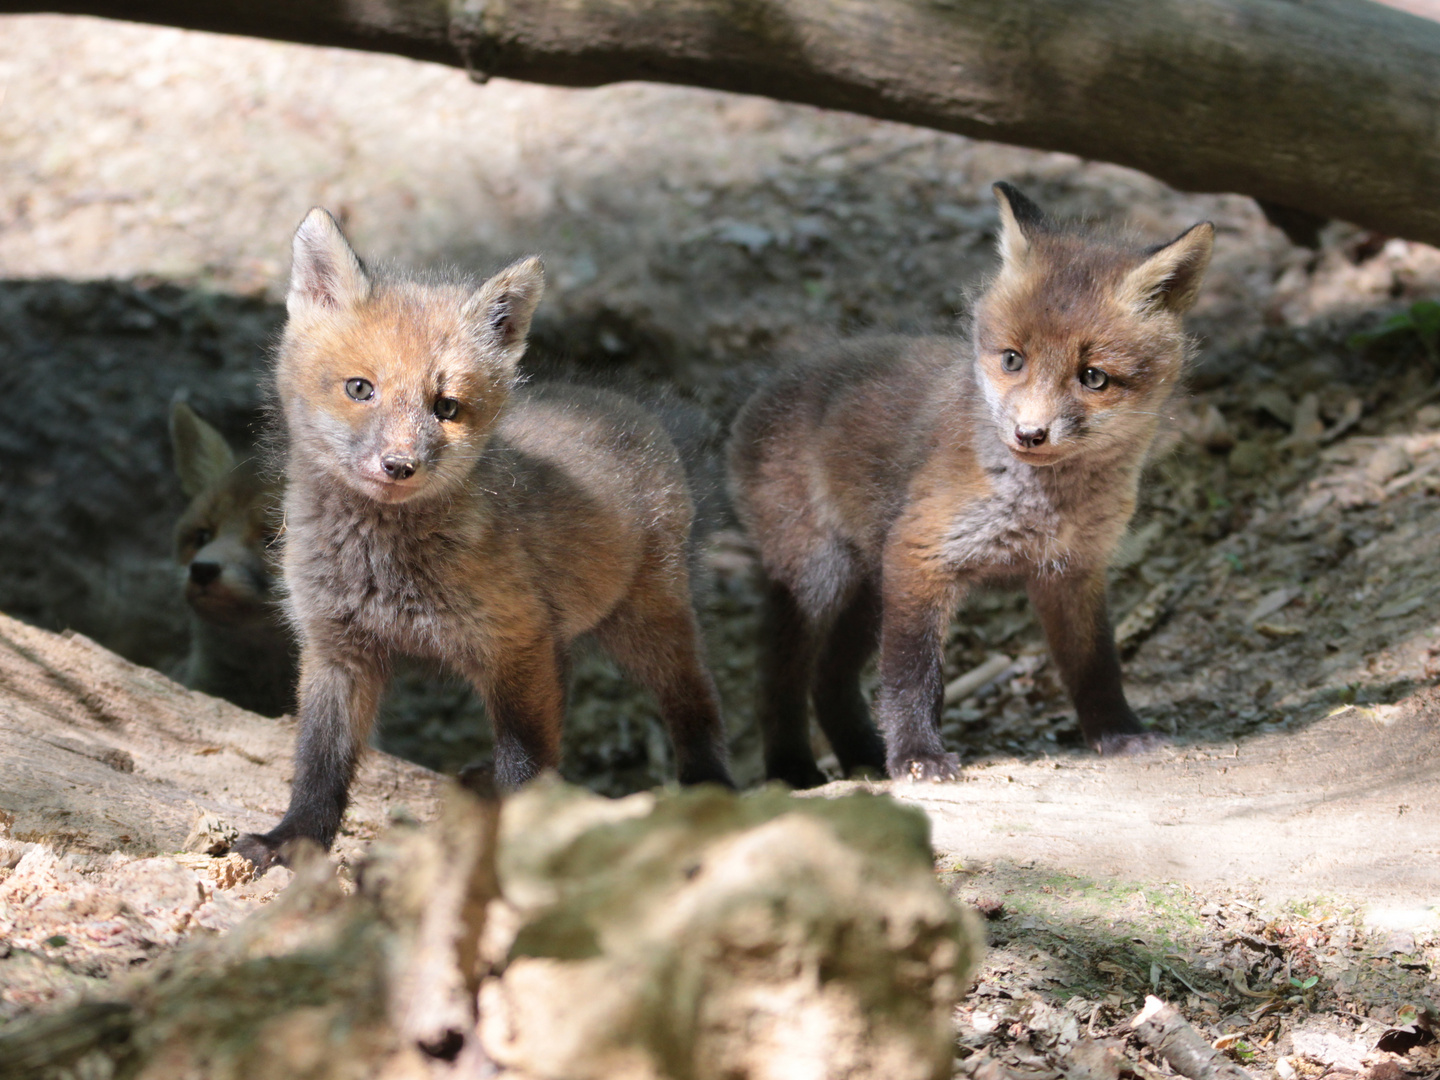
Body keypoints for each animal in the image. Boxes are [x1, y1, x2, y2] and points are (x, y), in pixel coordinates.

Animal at [239, 208, 731, 869]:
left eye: (446, 407)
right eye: (360, 388)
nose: (399, 466)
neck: (384, 568)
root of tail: (627, 406)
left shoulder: (514, 645)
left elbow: (525, 763)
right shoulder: (337, 649)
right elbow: (320, 762)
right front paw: (291, 840)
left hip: (647, 625)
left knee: (697, 704)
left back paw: (713, 788)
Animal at [725, 182, 1209, 789]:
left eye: (1094, 377)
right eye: (1012, 359)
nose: (1029, 434)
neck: (1046, 504)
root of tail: (763, 391)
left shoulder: (1073, 570)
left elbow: (1095, 663)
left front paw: (1118, 735)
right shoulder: (919, 555)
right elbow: (912, 676)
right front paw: (917, 757)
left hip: (867, 587)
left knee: (829, 681)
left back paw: (863, 755)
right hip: (819, 578)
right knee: (777, 683)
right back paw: (794, 769)